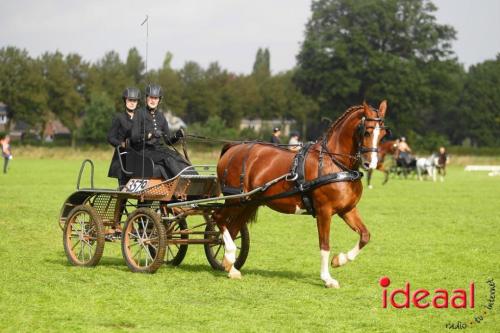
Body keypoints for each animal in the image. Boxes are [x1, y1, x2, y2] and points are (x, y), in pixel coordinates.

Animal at [213, 101, 388, 288]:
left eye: (383, 134)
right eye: (367, 131)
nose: (371, 164)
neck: (334, 163)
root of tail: (232, 148)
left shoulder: (347, 210)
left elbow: (365, 235)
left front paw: (339, 260)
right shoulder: (324, 211)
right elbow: (324, 244)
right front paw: (327, 278)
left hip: (248, 203)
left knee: (232, 228)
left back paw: (230, 267)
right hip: (236, 200)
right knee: (218, 217)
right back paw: (230, 255)